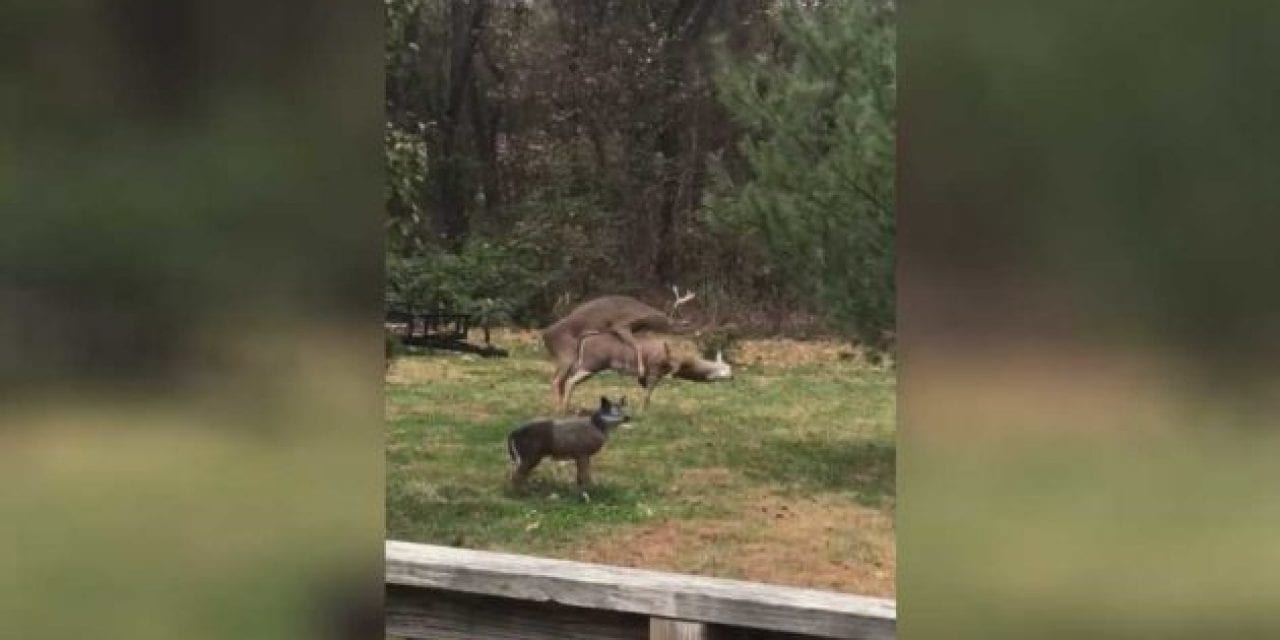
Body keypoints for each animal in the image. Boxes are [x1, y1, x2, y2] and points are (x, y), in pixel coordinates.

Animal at [542, 286, 701, 409]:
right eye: (685, 326)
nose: (698, 333)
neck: (647, 319)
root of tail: (545, 335)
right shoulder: (621, 325)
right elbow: (637, 346)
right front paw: (641, 370)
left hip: (569, 359)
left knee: (560, 379)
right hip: (567, 354)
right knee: (558, 380)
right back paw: (559, 407)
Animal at [558, 332, 732, 412]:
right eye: (726, 369)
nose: (732, 376)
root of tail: (584, 340)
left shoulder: (646, 375)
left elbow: (646, 391)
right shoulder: (655, 370)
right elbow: (648, 393)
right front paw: (644, 411)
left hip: (588, 366)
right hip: (591, 364)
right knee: (569, 381)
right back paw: (565, 408)